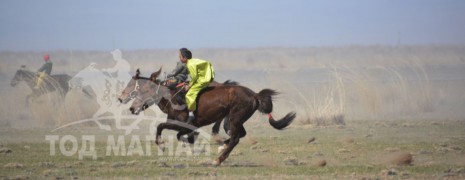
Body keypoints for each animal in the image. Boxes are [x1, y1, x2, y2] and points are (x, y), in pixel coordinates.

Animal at [129, 68, 296, 166]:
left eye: (142, 90)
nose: (131, 108)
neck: (172, 98)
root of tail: (254, 95)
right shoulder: (189, 125)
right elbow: (180, 135)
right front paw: (192, 145)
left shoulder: (182, 123)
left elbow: (161, 126)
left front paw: (162, 145)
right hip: (236, 119)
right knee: (239, 135)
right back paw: (221, 146)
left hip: (235, 118)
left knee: (235, 138)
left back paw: (218, 159)